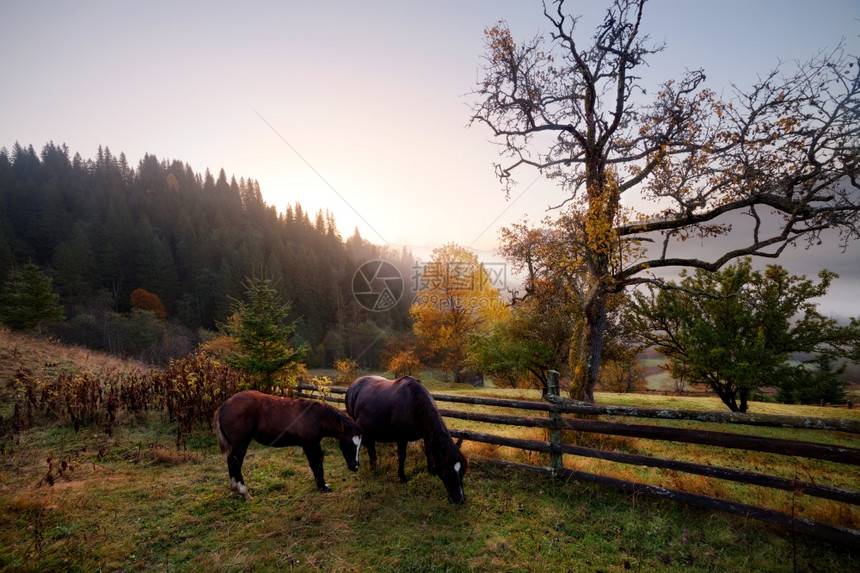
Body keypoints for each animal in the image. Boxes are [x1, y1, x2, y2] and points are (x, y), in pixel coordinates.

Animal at [217, 388, 364, 500]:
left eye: (359, 445)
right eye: (348, 444)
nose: (355, 467)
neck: (315, 417)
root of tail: (224, 405)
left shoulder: (314, 443)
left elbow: (318, 461)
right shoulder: (309, 444)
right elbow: (315, 463)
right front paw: (323, 487)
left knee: (231, 461)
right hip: (241, 444)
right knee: (235, 462)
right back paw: (244, 492)